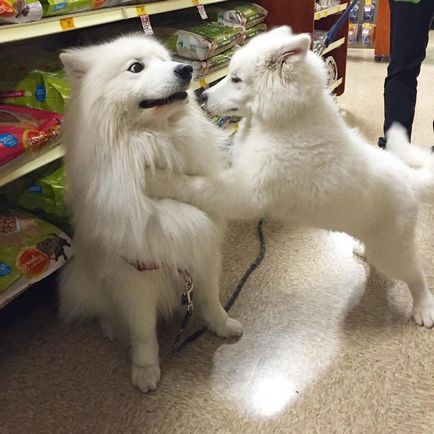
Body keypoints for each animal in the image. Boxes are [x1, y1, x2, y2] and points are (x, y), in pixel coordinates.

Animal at [56, 34, 244, 394]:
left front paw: (223, 325)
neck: (156, 143)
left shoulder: (201, 250)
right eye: (135, 67)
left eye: (166, 60)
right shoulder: (134, 275)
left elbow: (211, 300)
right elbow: (143, 332)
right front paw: (145, 370)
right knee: (102, 308)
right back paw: (111, 327)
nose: (186, 69)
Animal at [145, 26, 434, 328]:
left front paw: (158, 180)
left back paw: (423, 308)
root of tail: (411, 180)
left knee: (415, 275)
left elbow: (197, 186)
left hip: (391, 250)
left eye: (236, 79)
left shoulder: (246, 194)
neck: (284, 123)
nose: (202, 97)